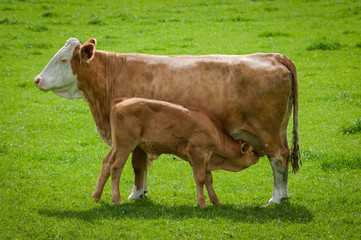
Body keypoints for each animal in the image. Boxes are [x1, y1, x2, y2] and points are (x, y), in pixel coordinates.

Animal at [93, 97, 260, 208]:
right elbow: (200, 179)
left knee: (106, 163)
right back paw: (117, 200)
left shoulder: (205, 159)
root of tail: (122, 101)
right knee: (116, 166)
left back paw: (96, 196)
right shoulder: (197, 153)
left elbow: (209, 179)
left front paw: (216, 201)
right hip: (125, 144)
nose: (259, 155)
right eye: (252, 150)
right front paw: (202, 203)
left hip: (117, 145)